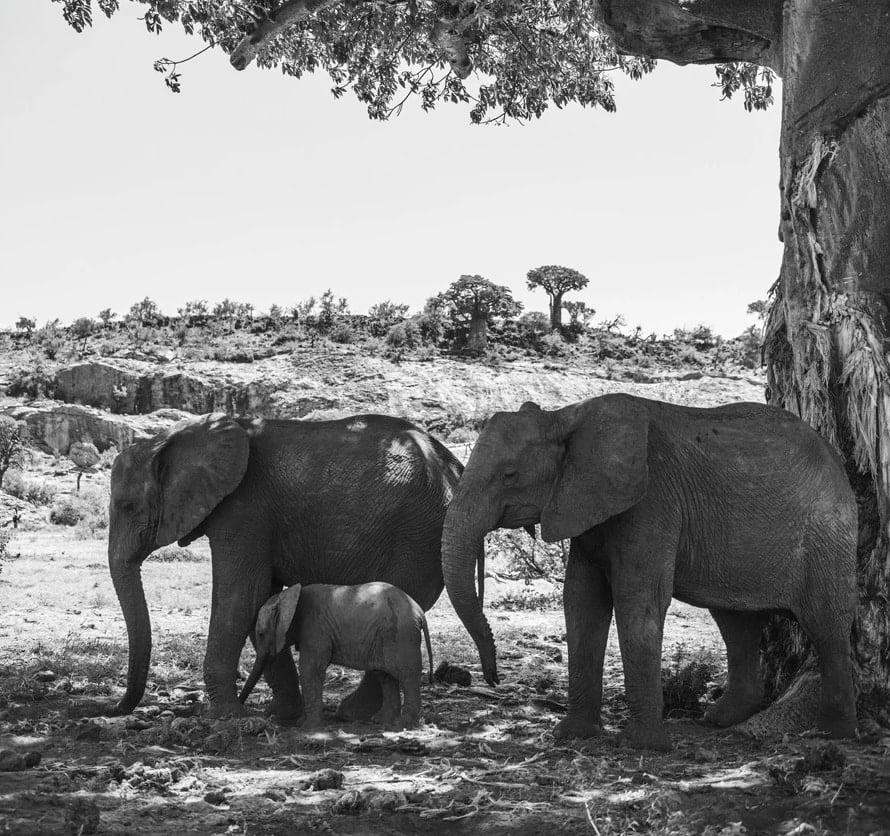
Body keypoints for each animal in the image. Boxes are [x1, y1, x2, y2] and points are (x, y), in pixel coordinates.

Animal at [236, 580, 430, 724]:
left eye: (261, 633)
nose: (261, 715)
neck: (290, 596)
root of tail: (419, 611)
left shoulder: (315, 629)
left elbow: (309, 669)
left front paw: (306, 726)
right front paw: (303, 722)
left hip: (401, 635)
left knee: (407, 675)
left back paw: (403, 723)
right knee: (384, 676)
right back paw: (381, 720)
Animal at [440, 396, 856, 752]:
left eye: (509, 475)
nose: (493, 679)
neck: (565, 417)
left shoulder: (651, 499)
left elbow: (636, 599)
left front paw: (641, 746)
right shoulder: (585, 506)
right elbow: (580, 599)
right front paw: (572, 735)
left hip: (827, 536)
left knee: (827, 626)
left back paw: (832, 734)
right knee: (736, 622)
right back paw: (719, 719)